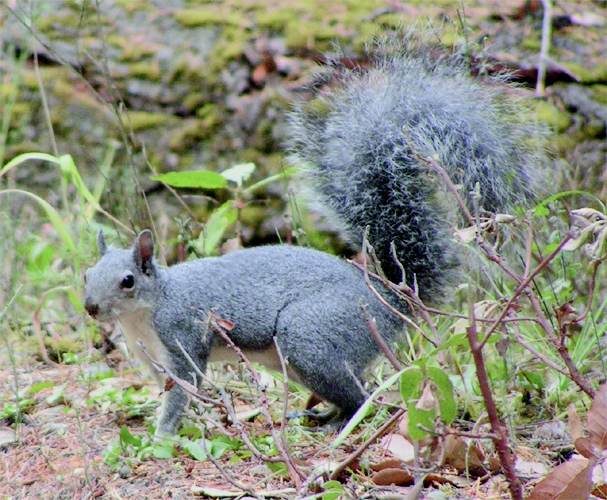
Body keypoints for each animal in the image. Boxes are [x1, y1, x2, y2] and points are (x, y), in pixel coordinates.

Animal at [84, 33, 540, 436]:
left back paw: (338, 423)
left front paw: (160, 437)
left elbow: (183, 392)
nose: (90, 307)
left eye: (127, 281)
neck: (146, 312)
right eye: (87, 275)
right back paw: (320, 416)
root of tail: (390, 302)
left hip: (309, 336)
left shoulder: (181, 338)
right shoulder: (154, 358)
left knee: (361, 396)